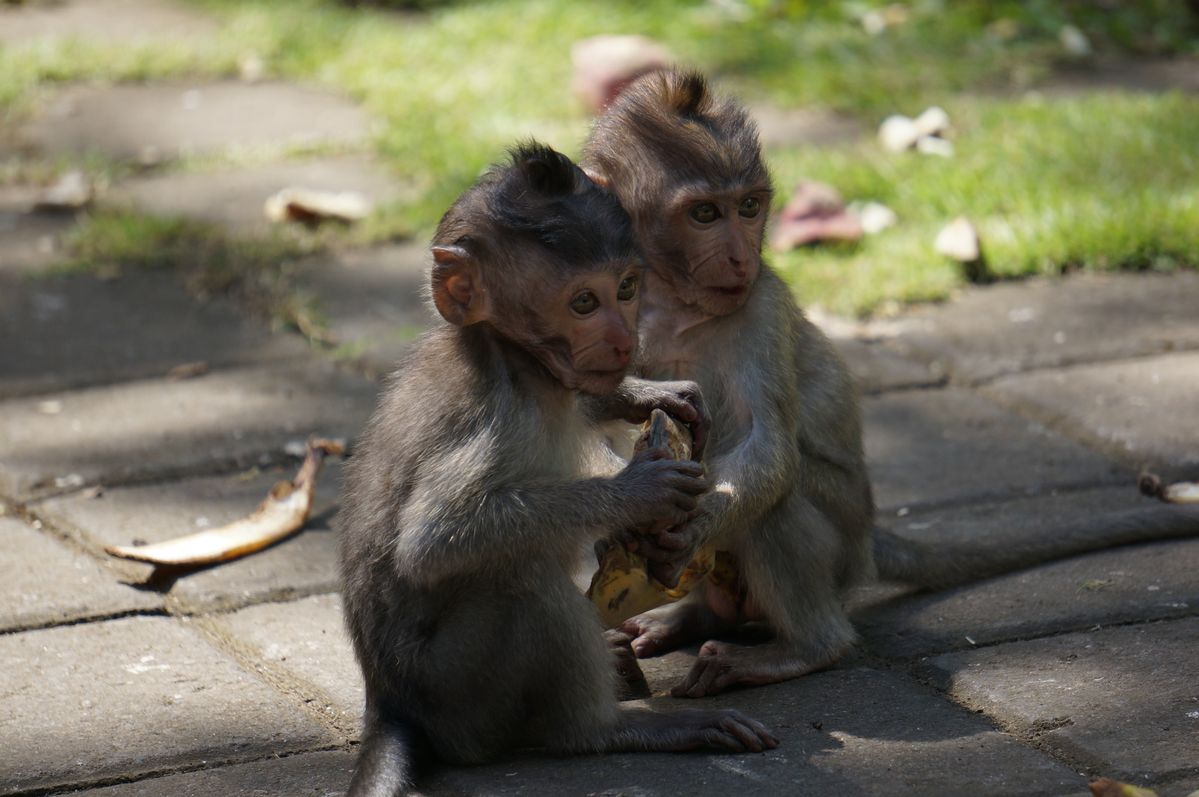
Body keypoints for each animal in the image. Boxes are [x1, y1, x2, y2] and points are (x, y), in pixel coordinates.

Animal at [580, 71, 1199, 699]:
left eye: (749, 206)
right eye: (705, 214)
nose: (737, 256)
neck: (673, 302)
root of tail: (870, 537)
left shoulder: (761, 305)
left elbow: (767, 447)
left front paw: (691, 523)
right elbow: (579, 417)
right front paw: (628, 502)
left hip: (842, 542)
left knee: (778, 499)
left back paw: (803, 649)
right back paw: (692, 616)